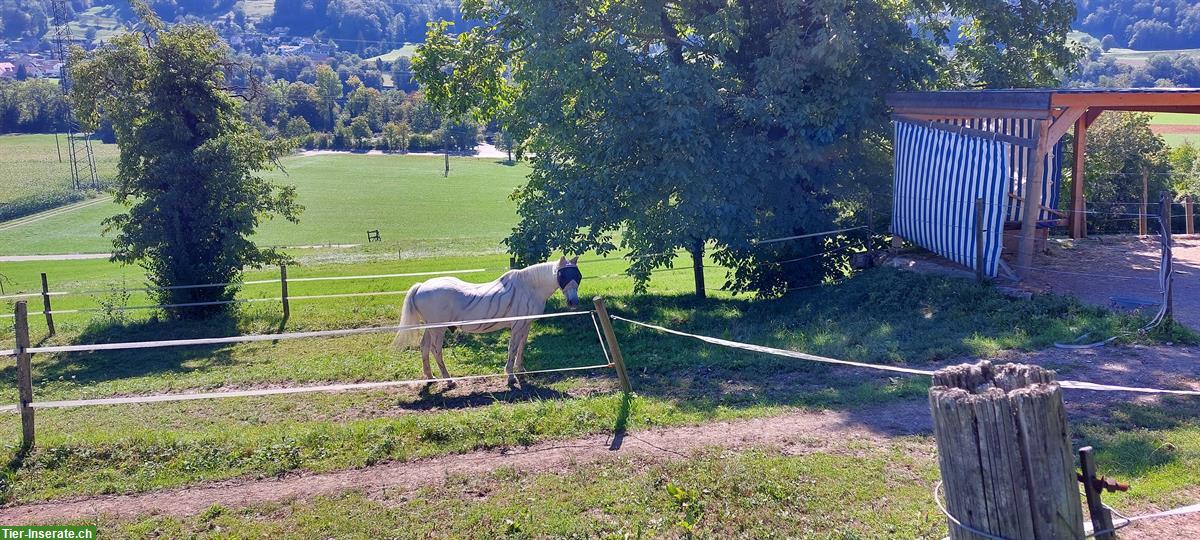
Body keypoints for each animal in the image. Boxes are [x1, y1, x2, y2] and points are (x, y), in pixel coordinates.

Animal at [393, 255, 580, 386]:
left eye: (577, 275)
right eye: (563, 275)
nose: (573, 302)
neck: (529, 287)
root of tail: (421, 286)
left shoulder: (526, 325)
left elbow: (521, 346)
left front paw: (520, 370)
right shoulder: (517, 325)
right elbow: (512, 348)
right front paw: (510, 376)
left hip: (430, 328)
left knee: (424, 347)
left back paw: (430, 377)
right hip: (438, 329)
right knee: (435, 350)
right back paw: (448, 380)